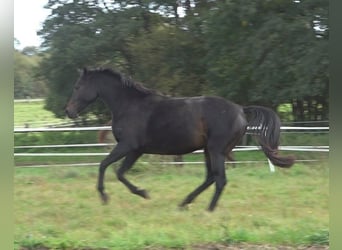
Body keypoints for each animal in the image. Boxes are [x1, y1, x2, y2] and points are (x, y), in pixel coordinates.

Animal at [65, 68, 294, 211]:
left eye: (78, 87)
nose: (68, 111)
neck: (130, 105)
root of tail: (240, 109)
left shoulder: (127, 146)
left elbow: (105, 166)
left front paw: (108, 196)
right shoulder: (136, 150)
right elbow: (119, 172)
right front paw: (142, 193)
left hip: (216, 150)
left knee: (219, 179)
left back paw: (208, 210)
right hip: (208, 150)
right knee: (210, 178)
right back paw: (184, 203)